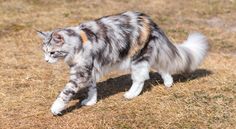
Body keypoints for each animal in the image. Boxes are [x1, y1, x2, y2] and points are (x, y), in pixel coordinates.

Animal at [37, 11, 208, 116]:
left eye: (52, 53)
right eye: (44, 51)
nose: (46, 60)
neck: (78, 43)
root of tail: (150, 21)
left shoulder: (81, 73)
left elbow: (65, 92)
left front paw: (55, 108)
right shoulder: (90, 70)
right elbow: (92, 89)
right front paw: (91, 102)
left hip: (137, 58)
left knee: (140, 79)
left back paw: (130, 95)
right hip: (147, 55)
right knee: (162, 67)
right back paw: (168, 83)